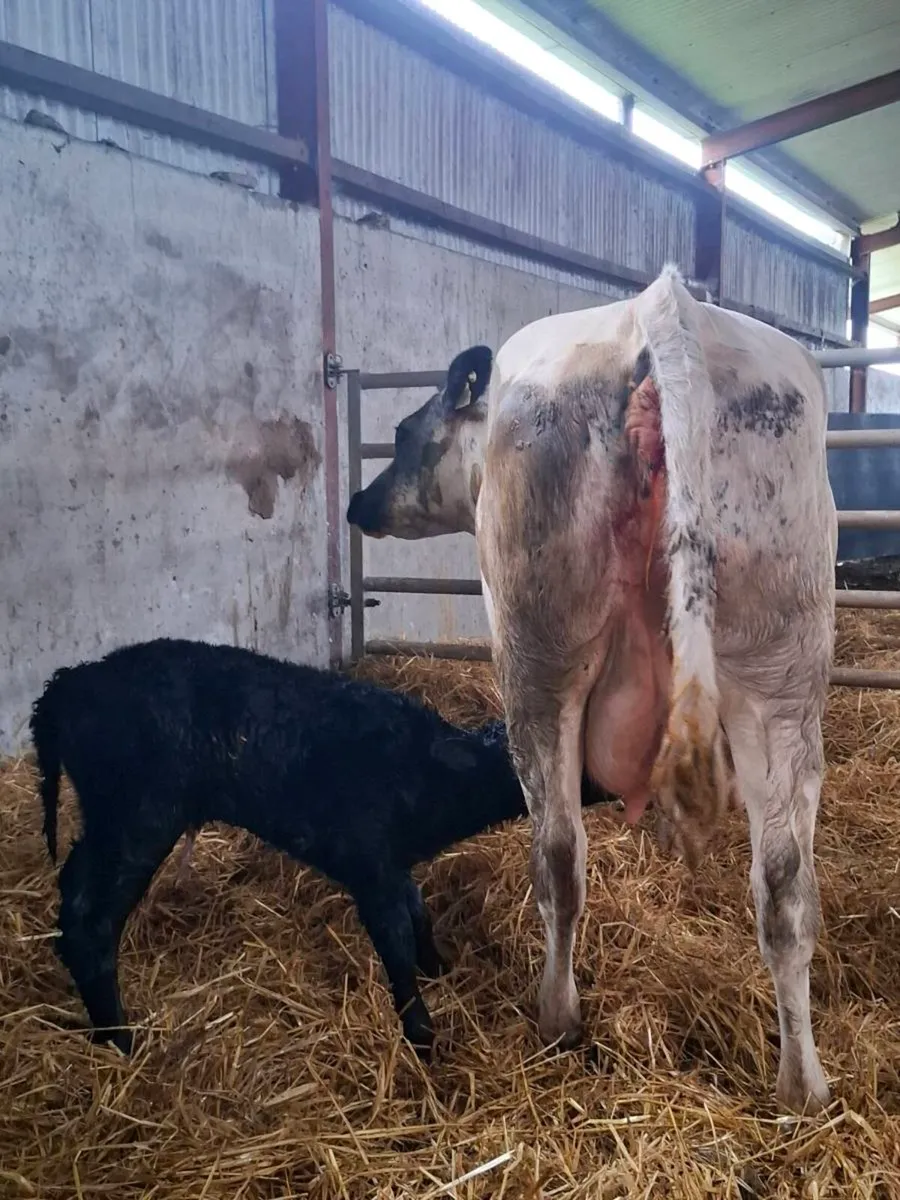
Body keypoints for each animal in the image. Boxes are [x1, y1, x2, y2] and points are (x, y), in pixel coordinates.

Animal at [348, 267, 837, 1116]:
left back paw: (557, 1016)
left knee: (557, 856)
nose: (359, 503)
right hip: (783, 674)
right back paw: (802, 1086)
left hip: (538, 661)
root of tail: (663, 304)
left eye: (406, 432)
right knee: (785, 887)